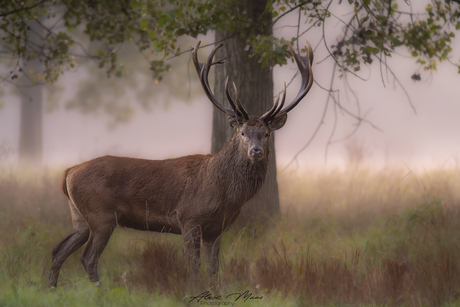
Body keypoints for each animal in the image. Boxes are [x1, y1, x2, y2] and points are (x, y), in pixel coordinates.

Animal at [47, 39, 312, 288]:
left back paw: (52, 289)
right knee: (87, 257)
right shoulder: (189, 218)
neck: (225, 195)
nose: (256, 151)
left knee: (58, 250)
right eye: (243, 132)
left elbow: (214, 270)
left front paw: (215, 294)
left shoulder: (218, 229)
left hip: (80, 217)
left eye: (266, 134)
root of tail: (68, 172)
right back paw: (98, 292)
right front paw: (196, 293)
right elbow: (193, 267)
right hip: (100, 215)